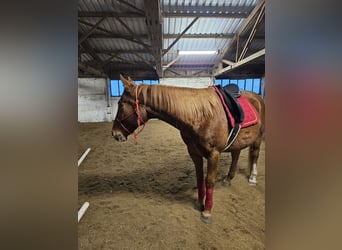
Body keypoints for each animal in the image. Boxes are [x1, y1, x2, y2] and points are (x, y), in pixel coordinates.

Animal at [112, 75, 264, 224]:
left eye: (121, 104)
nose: (115, 134)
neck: (200, 116)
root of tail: (257, 98)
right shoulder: (194, 152)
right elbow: (199, 178)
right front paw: (199, 203)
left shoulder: (214, 154)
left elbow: (209, 180)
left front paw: (207, 212)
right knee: (236, 154)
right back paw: (228, 179)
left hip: (258, 138)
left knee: (255, 155)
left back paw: (252, 178)